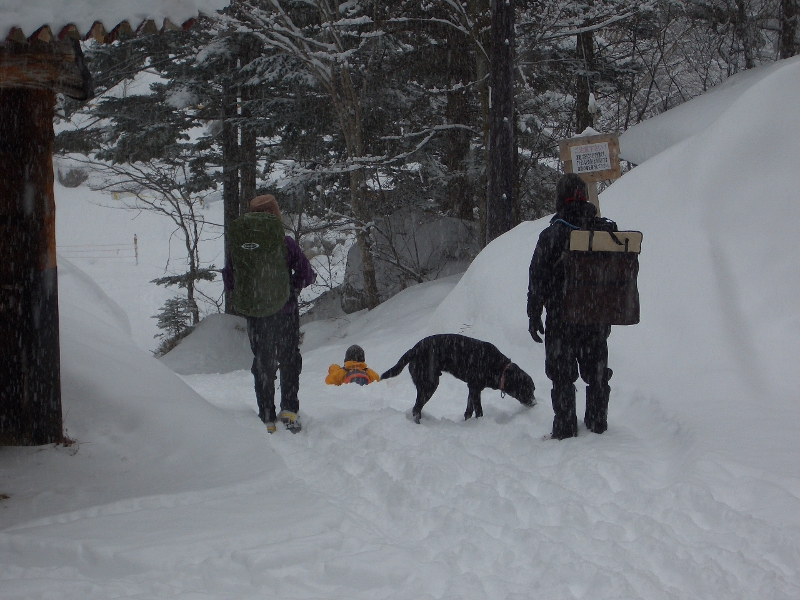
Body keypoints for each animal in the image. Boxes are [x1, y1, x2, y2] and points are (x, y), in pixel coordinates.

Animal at [382, 336, 536, 424]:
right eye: (527, 389)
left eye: (533, 389)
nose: (535, 403)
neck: (499, 367)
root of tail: (413, 350)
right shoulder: (475, 388)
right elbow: (479, 411)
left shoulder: (472, 389)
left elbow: (468, 411)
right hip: (429, 384)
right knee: (416, 409)